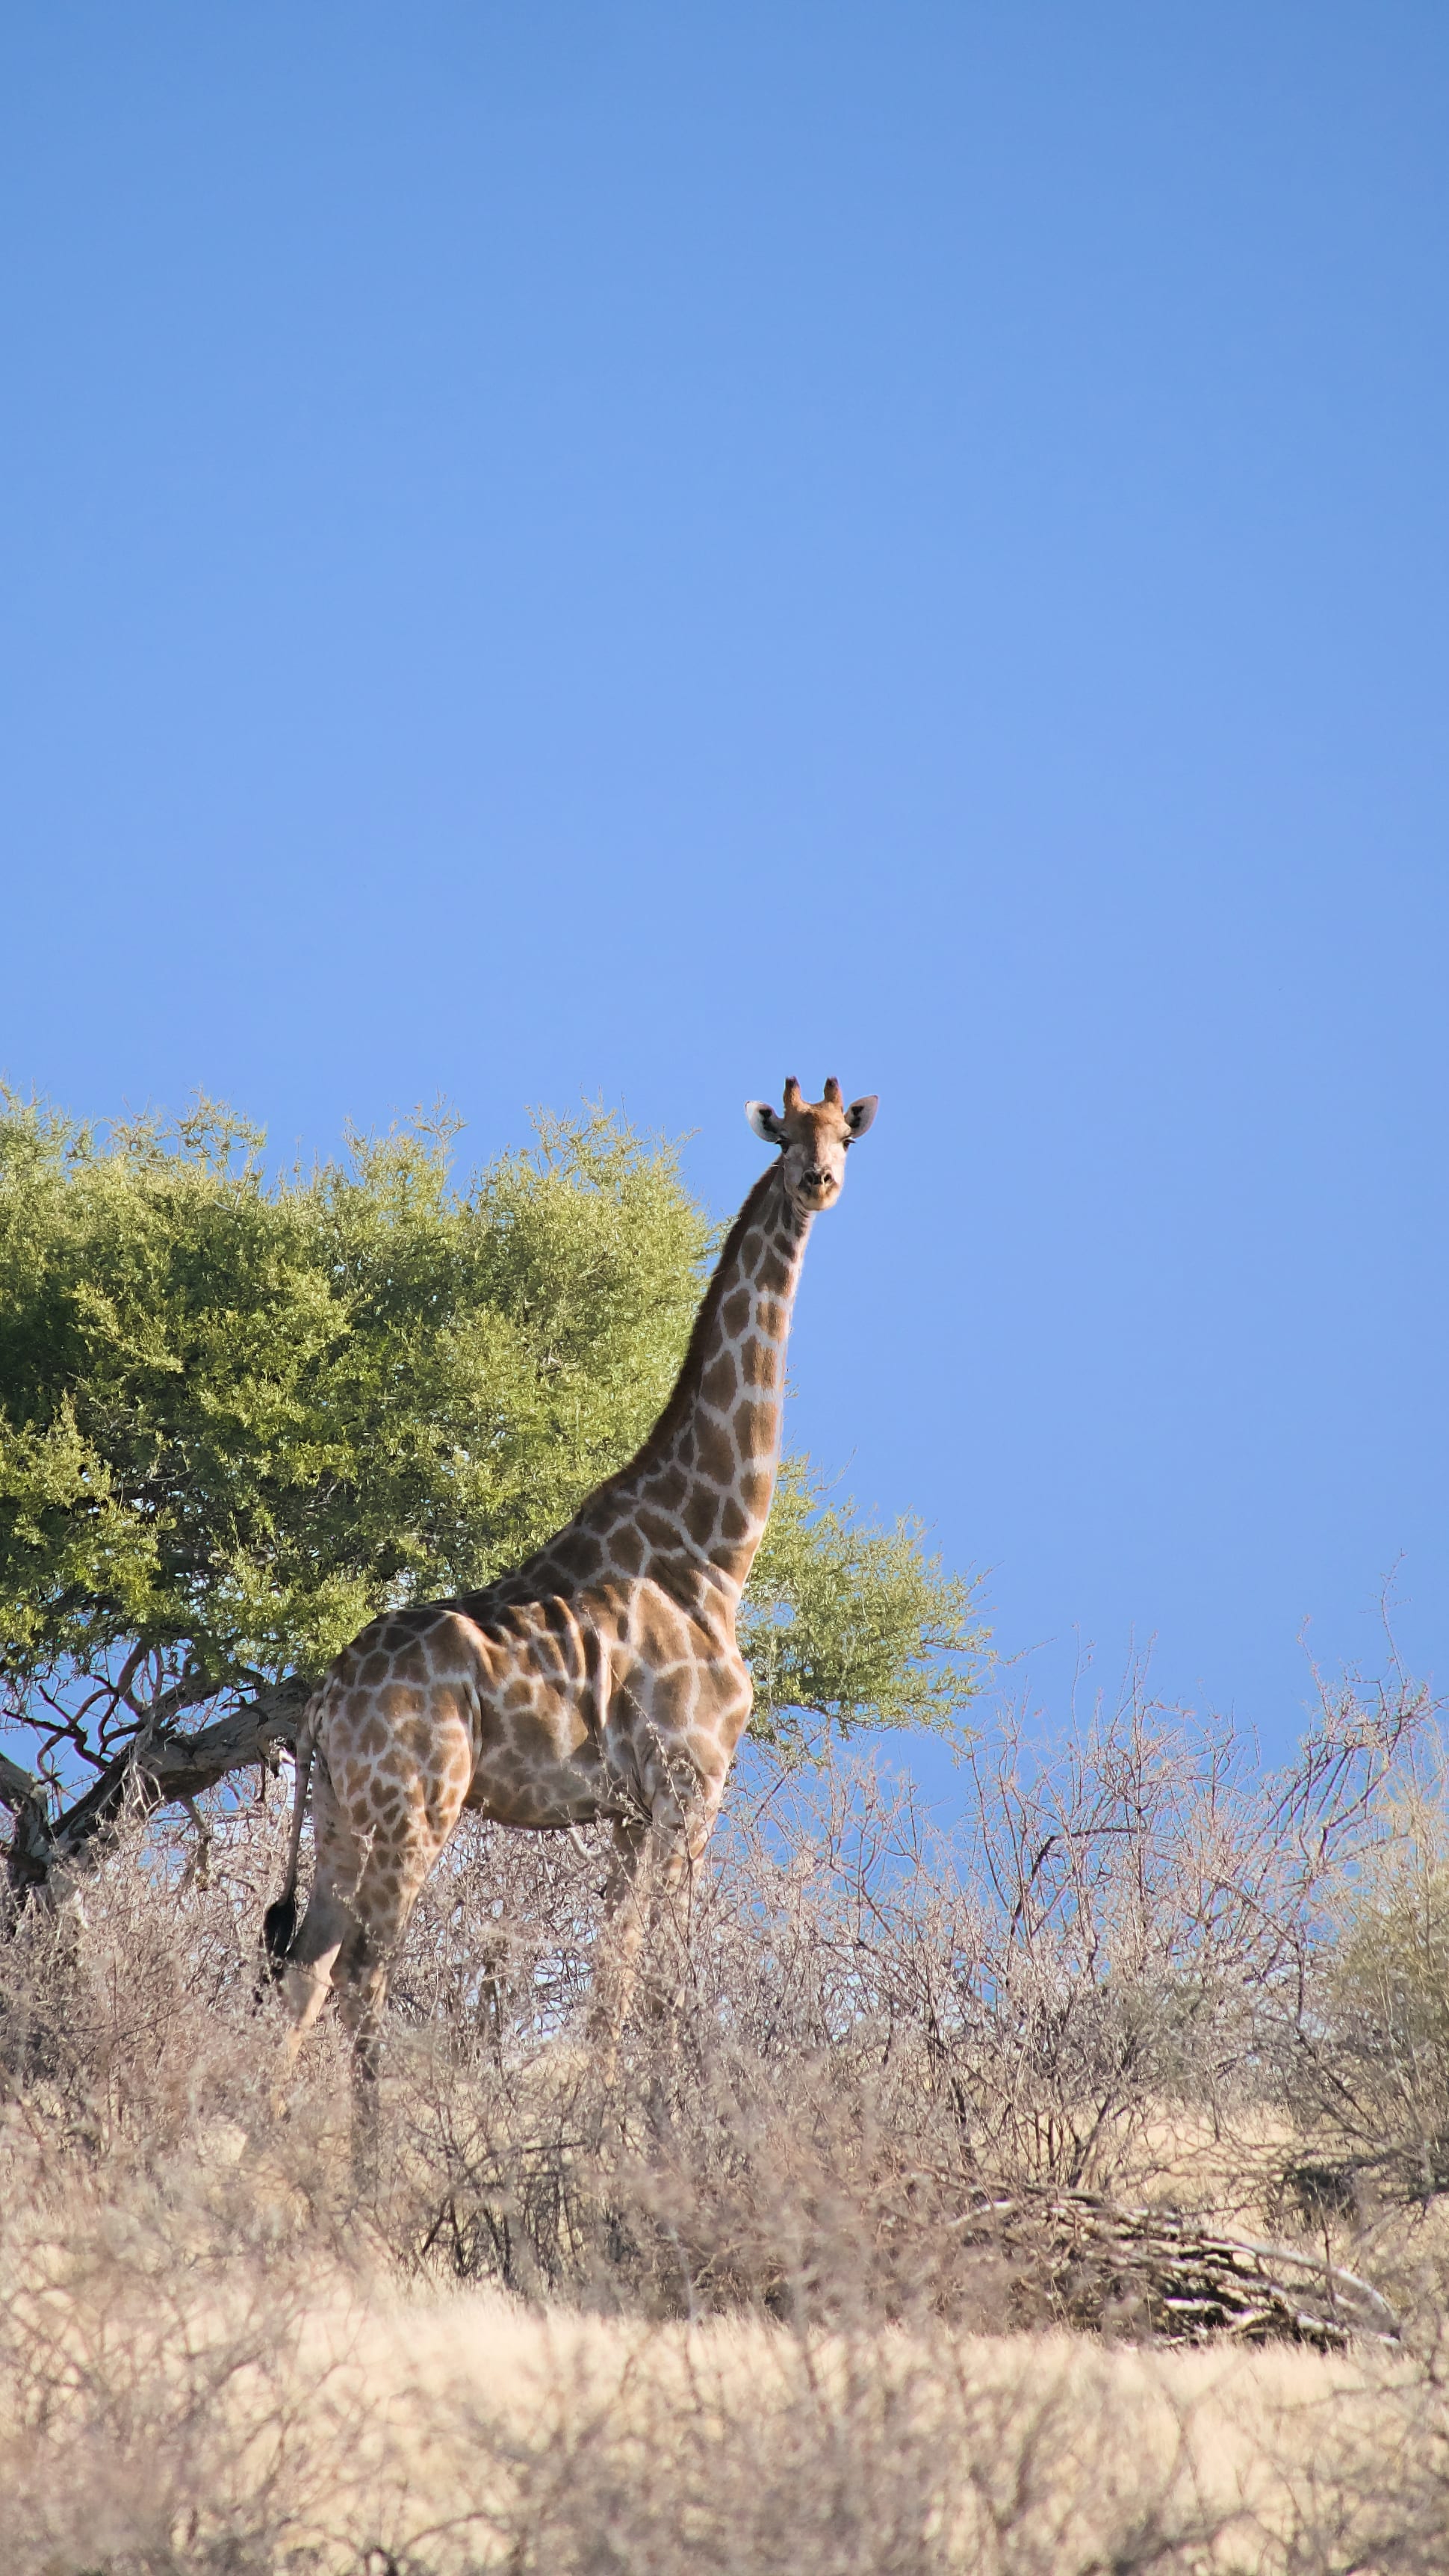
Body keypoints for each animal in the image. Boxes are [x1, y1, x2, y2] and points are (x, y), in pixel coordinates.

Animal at [264, 1077, 879, 2114]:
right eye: (787, 1133)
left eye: (845, 1134)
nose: (818, 1181)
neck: (711, 1550)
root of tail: (323, 1703)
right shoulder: (691, 1785)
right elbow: (669, 1982)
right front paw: (669, 2134)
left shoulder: (629, 1813)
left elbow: (612, 1983)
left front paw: (601, 2133)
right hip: (418, 1806)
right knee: (366, 1970)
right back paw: (367, 2147)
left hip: (345, 1812)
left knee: (306, 1969)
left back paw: (255, 2139)